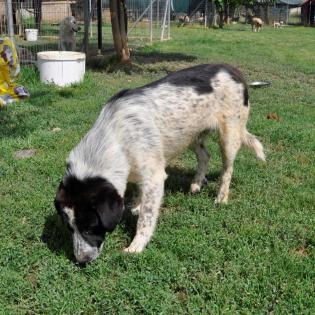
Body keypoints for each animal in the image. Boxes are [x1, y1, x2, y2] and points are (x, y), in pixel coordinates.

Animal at [55, 64, 266, 264]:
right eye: (70, 228)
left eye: (90, 227)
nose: (81, 260)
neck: (112, 138)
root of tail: (234, 71)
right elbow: (139, 193)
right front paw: (136, 205)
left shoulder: (154, 177)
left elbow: (146, 218)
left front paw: (136, 245)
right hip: (190, 135)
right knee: (205, 156)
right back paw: (196, 184)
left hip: (229, 135)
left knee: (227, 170)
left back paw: (221, 198)